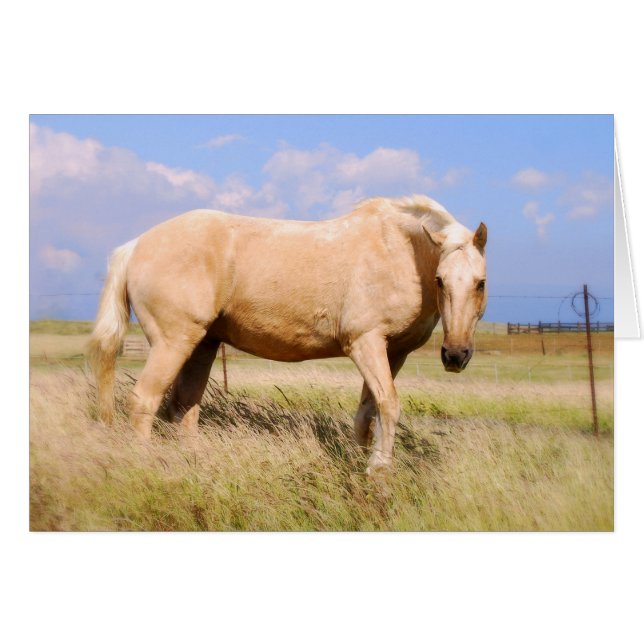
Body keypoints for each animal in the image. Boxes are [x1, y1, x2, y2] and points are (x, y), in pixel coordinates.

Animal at [88, 195, 487, 475]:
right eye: (440, 280)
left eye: (480, 283)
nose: (455, 355)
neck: (399, 251)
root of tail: (135, 246)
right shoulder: (366, 343)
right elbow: (388, 405)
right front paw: (379, 470)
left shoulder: (393, 353)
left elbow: (368, 411)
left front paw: (359, 462)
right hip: (173, 343)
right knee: (144, 401)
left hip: (202, 345)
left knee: (183, 407)